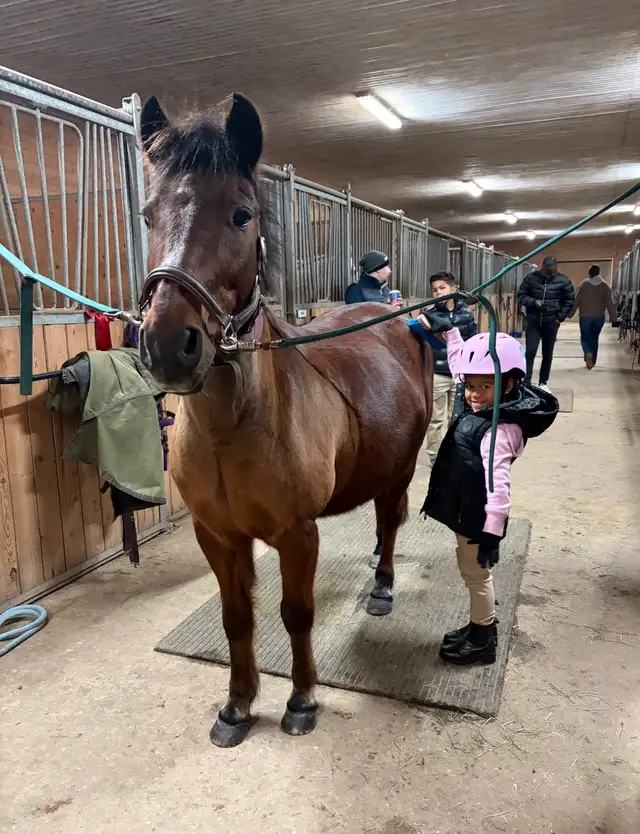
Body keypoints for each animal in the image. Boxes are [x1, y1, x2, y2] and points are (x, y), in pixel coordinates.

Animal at [138, 92, 434, 747]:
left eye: (242, 215)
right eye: (147, 215)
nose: (169, 345)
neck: (234, 429)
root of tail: (399, 318)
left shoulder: (299, 534)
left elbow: (296, 615)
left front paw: (301, 701)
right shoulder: (217, 535)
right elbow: (237, 618)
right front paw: (237, 707)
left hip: (401, 467)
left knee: (390, 521)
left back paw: (381, 586)